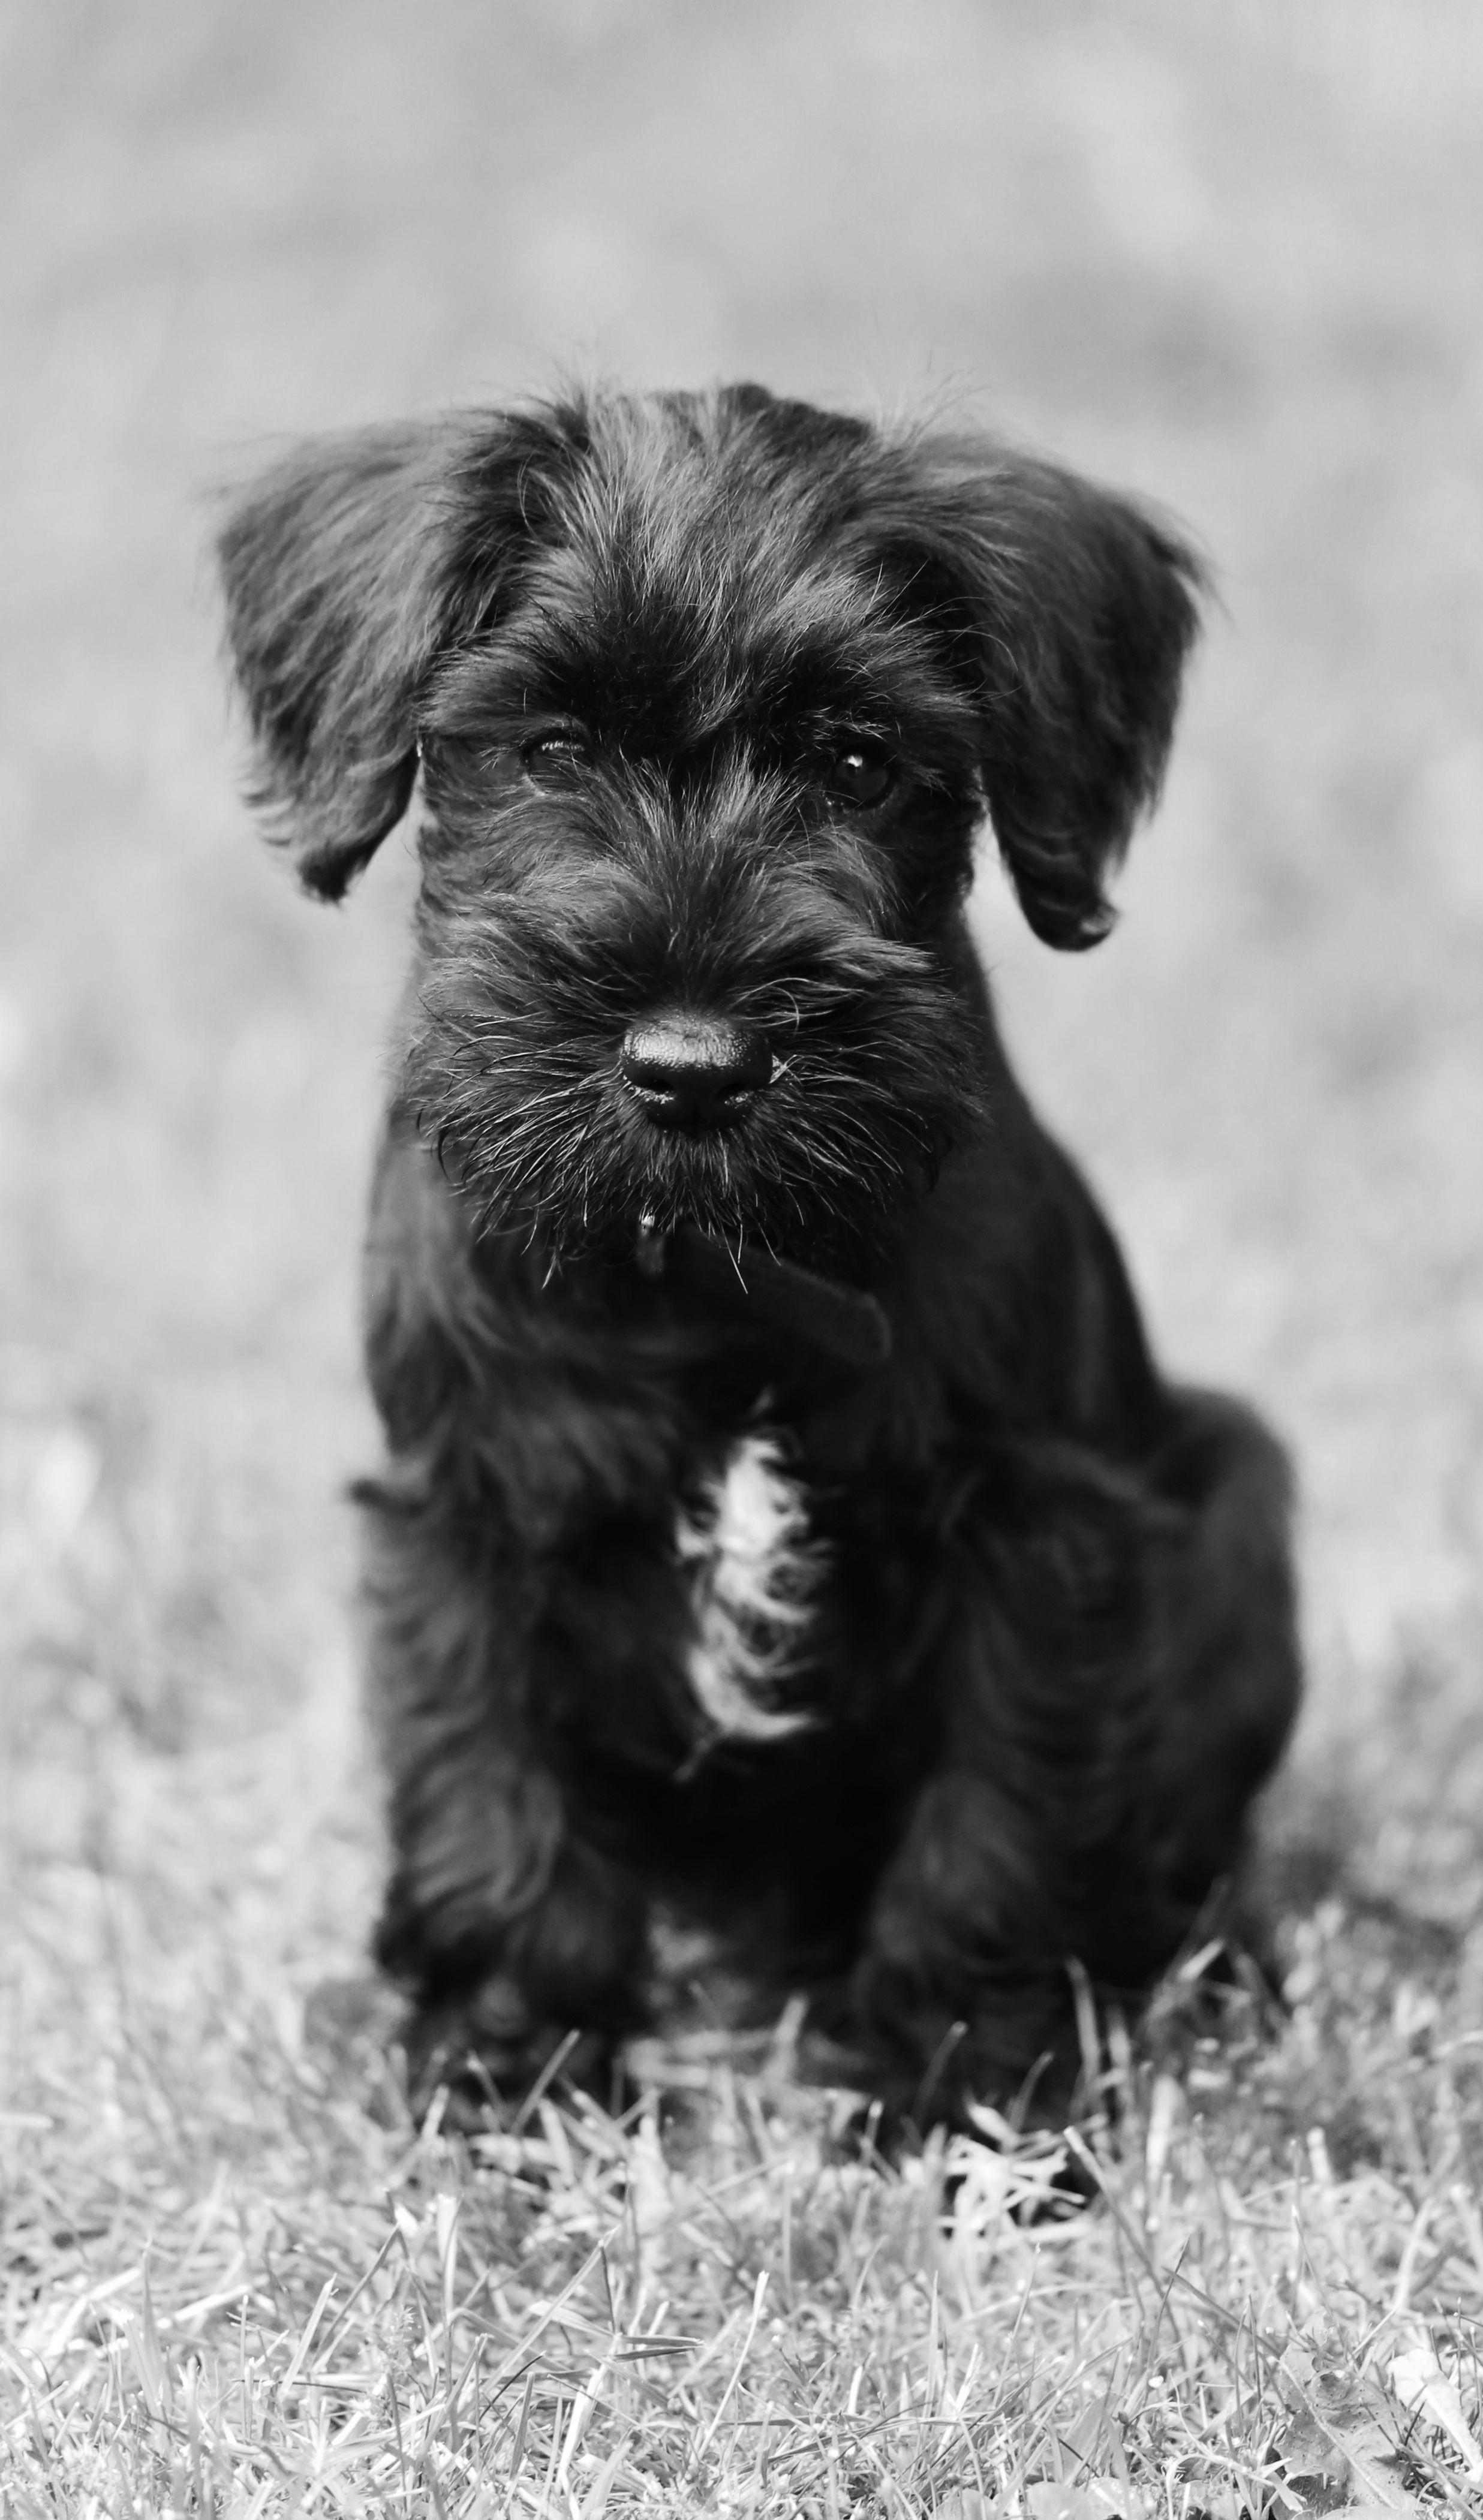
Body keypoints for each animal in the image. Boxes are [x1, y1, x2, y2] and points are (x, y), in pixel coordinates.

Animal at [216, 383, 1301, 2127]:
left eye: (856, 760)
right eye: (550, 748)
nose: (695, 1065)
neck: (702, 1266)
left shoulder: (1038, 1531)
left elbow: (993, 1830)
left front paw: (969, 2096)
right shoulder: (466, 1517)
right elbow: (495, 1809)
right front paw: (504, 2071)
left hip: (1242, 1497)